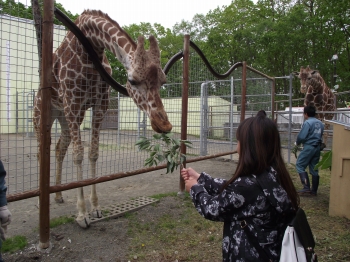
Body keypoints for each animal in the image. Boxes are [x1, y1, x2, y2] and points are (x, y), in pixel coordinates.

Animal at [33, 9, 173, 227]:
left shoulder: (99, 106)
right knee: (42, 151)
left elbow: (93, 153)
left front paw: (96, 208)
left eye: (163, 81)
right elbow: (78, 155)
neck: (91, 50)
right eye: (132, 80)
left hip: (65, 118)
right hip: (43, 114)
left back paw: (58, 195)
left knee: (59, 148)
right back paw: (42, 201)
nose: (164, 124)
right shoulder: (73, 104)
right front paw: (82, 215)